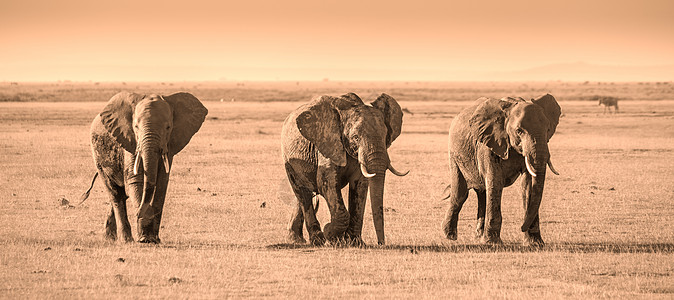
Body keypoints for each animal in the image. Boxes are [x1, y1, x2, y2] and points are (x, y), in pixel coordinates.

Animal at [82, 92, 207, 244]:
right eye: (136, 127)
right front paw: (144, 238)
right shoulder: (129, 140)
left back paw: (110, 238)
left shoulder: (169, 145)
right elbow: (135, 181)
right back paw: (125, 240)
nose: (139, 213)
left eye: (168, 127)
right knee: (115, 194)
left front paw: (153, 239)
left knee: (121, 195)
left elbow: (161, 183)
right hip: (98, 156)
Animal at [280, 92, 406, 245]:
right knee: (303, 193)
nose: (380, 243)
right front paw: (330, 234)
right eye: (356, 138)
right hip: (287, 158)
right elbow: (326, 183)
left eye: (385, 137)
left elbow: (360, 186)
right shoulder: (327, 142)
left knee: (304, 195)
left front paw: (355, 243)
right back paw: (316, 240)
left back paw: (297, 239)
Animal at [438, 94, 560, 246]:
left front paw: (535, 243)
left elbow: (528, 185)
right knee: (460, 193)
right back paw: (450, 235)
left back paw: (478, 237)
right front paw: (493, 243)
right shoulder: (489, 143)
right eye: (519, 131)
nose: (521, 227)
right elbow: (495, 181)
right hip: (454, 153)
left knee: (482, 193)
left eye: (548, 130)